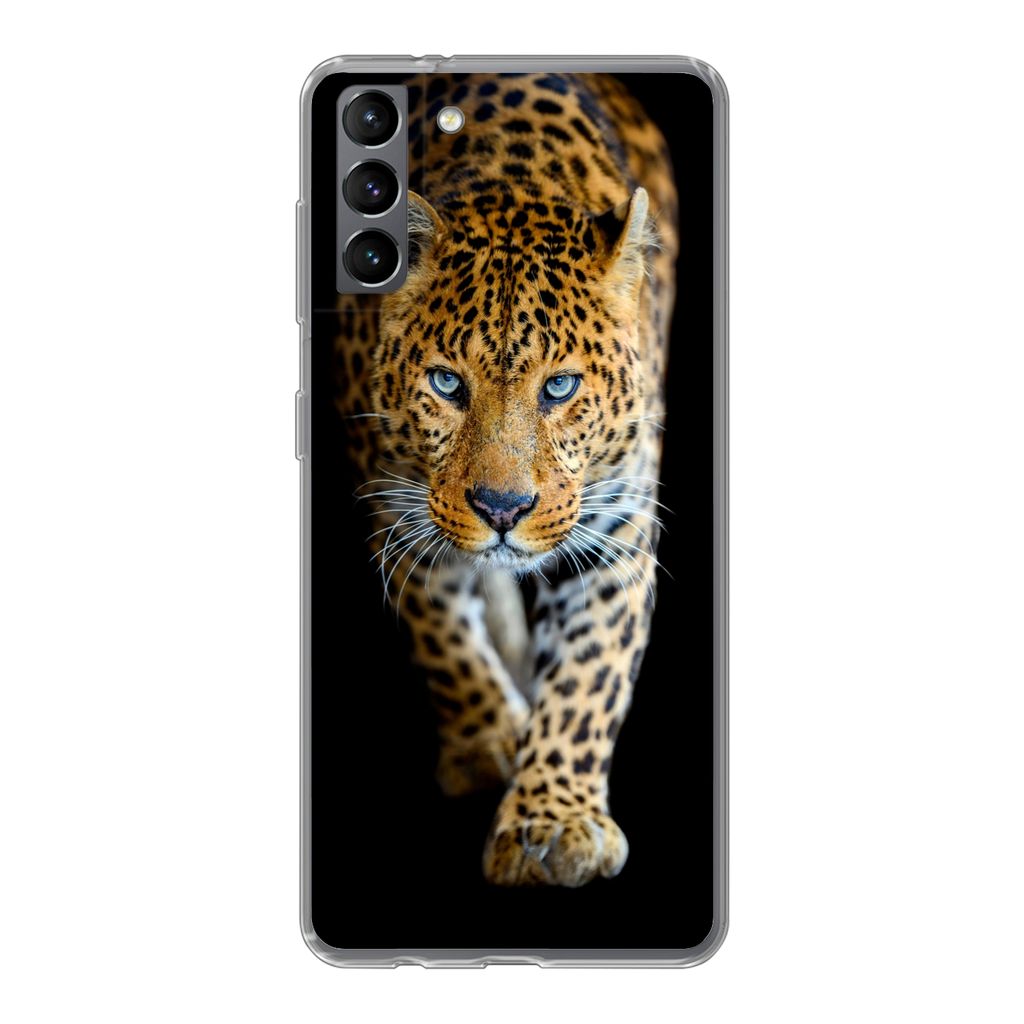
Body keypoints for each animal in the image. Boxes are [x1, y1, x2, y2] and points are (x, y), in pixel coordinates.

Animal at [331, 72, 678, 887]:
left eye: (560, 388)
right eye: (446, 383)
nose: (501, 508)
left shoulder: (617, 533)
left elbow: (589, 678)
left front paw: (553, 821)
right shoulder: (395, 507)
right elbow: (442, 637)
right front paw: (488, 741)